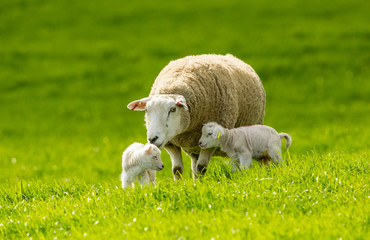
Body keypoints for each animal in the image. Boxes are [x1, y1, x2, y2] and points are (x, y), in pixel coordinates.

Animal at [128, 53, 266, 179]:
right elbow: (177, 169)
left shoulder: (212, 142)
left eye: (172, 109)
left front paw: (202, 185)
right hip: (196, 148)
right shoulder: (171, 143)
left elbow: (201, 167)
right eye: (146, 110)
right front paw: (182, 186)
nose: (152, 139)